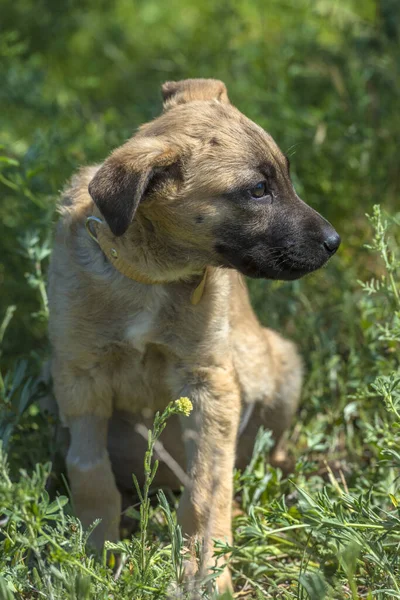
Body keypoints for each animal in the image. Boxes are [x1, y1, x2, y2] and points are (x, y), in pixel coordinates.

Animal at [47, 78, 340, 592]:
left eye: (285, 178)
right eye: (258, 190)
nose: (334, 242)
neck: (148, 275)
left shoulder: (208, 384)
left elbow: (207, 485)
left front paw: (203, 566)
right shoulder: (79, 377)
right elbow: (89, 471)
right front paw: (96, 551)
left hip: (281, 368)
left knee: (250, 459)